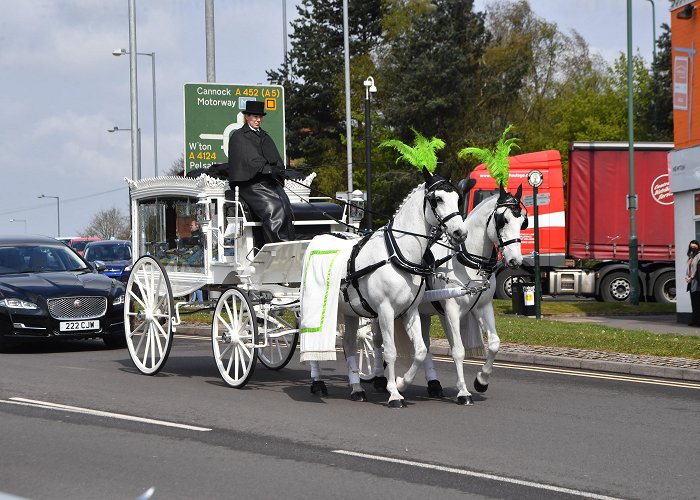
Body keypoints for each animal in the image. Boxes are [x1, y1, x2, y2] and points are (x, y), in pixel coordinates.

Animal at [304, 167, 464, 406]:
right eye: (437, 199)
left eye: (458, 198)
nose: (460, 233)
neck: (397, 253)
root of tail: (315, 239)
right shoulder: (385, 310)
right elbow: (390, 351)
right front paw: (394, 394)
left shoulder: (410, 311)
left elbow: (420, 350)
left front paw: (401, 382)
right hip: (312, 308)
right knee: (311, 339)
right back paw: (317, 383)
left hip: (349, 311)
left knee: (349, 344)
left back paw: (357, 388)